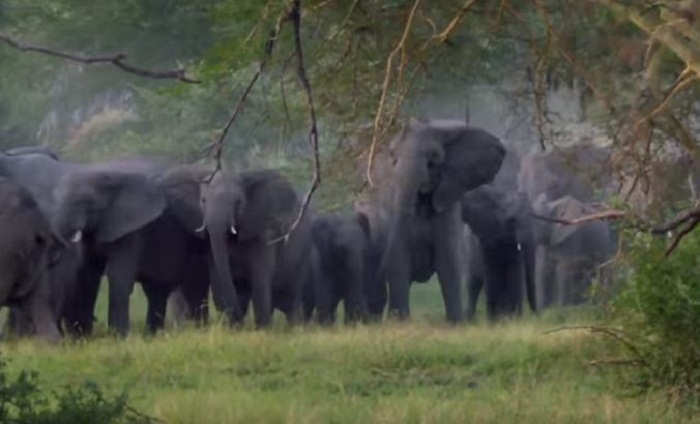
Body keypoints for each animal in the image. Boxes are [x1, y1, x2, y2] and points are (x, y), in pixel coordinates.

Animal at [198, 169, 313, 328]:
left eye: (238, 202)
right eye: (203, 201)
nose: (239, 321)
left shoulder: (265, 232)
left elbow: (260, 275)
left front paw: (262, 329)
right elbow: (217, 276)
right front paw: (230, 327)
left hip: (303, 254)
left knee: (293, 296)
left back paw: (296, 328)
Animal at [359, 118, 506, 322]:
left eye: (434, 158)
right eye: (393, 157)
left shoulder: (448, 202)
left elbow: (448, 263)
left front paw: (455, 323)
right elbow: (398, 261)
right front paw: (401, 322)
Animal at [461, 185, 537, 320]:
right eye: (512, 221)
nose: (536, 316)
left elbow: (515, 276)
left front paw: (513, 320)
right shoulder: (485, 239)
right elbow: (492, 277)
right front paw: (495, 321)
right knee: (473, 284)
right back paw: (470, 319)